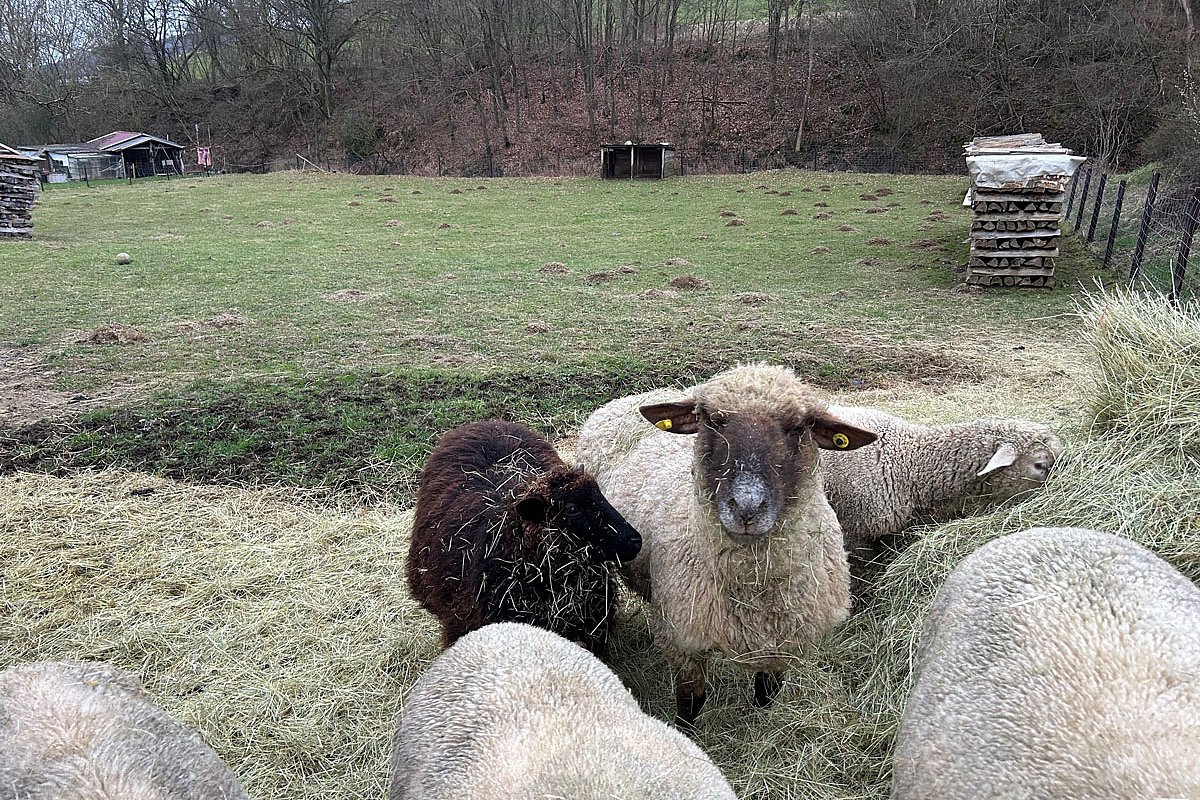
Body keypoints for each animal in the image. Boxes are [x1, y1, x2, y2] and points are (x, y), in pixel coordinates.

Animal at [574, 363, 878, 727]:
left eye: (798, 427)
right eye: (712, 420)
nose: (747, 507)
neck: (755, 590)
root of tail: (640, 395)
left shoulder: (782, 640)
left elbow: (768, 690)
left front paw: (760, 720)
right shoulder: (683, 640)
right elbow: (691, 701)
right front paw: (686, 732)